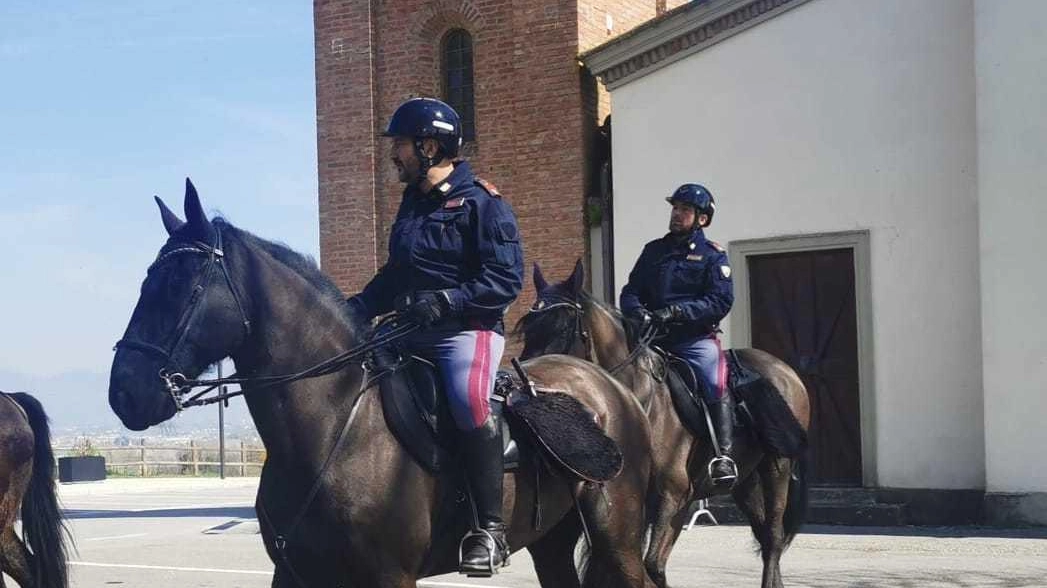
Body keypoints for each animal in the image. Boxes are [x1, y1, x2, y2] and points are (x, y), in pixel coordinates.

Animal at [110, 182, 657, 585]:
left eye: (181, 285)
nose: (125, 394)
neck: (336, 425)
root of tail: (613, 389)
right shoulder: (296, 574)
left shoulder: (389, 577)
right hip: (552, 541)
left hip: (618, 537)